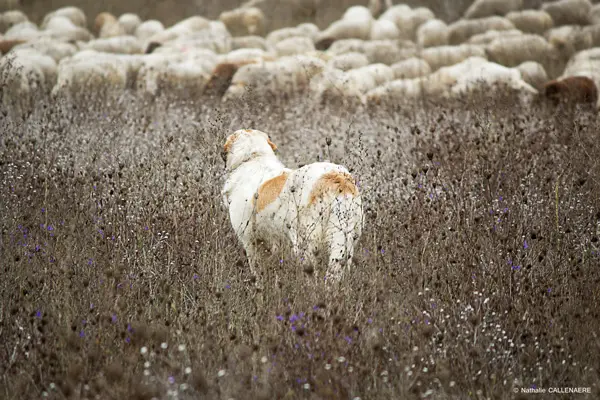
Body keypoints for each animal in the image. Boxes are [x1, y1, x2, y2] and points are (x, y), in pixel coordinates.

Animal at [219, 130, 360, 282]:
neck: (254, 157)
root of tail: (337, 179)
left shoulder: (250, 240)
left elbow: (256, 268)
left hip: (305, 242)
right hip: (346, 241)